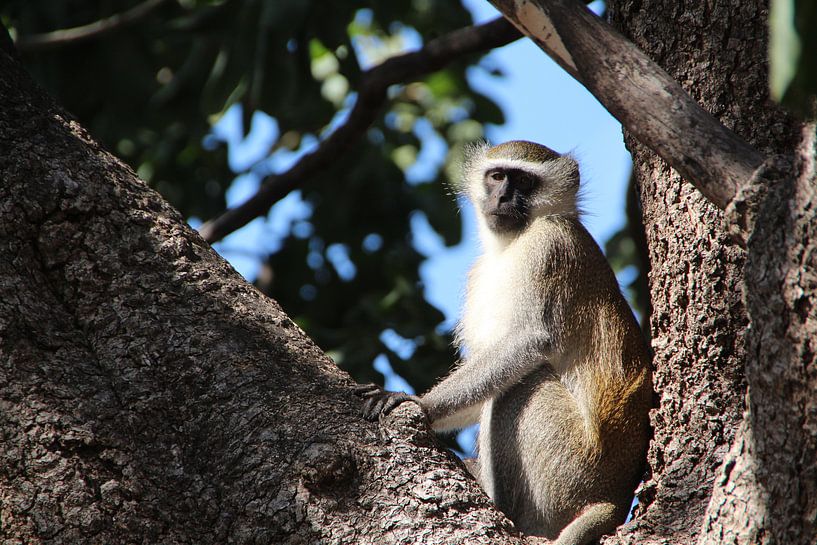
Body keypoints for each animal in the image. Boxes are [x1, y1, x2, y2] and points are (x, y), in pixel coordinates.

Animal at [356, 141, 652, 544]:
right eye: (497, 176)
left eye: (524, 181)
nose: (503, 196)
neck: (512, 244)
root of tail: (615, 498)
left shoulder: (551, 245)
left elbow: (527, 343)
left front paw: (418, 403)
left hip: (572, 467)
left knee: (523, 384)